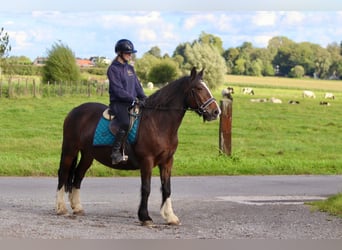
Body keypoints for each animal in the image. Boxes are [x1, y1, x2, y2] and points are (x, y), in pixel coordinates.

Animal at [55, 67, 222, 227]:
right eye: (198, 88)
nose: (216, 112)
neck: (158, 122)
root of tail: (75, 111)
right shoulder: (147, 160)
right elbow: (146, 188)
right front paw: (145, 217)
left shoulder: (167, 161)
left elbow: (167, 188)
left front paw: (170, 216)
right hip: (69, 150)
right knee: (63, 174)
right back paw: (61, 208)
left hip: (88, 155)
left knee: (78, 176)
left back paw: (77, 207)